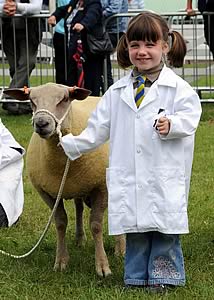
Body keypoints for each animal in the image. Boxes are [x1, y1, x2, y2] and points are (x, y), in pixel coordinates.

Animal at [3, 83, 125, 278]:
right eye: (31, 100)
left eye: (64, 99)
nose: (41, 123)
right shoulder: (47, 192)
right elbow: (60, 223)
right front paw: (61, 261)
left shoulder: (102, 188)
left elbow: (96, 225)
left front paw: (102, 266)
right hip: (77, 186)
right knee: (79, 208)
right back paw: (79, 239)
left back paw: (121, 249)